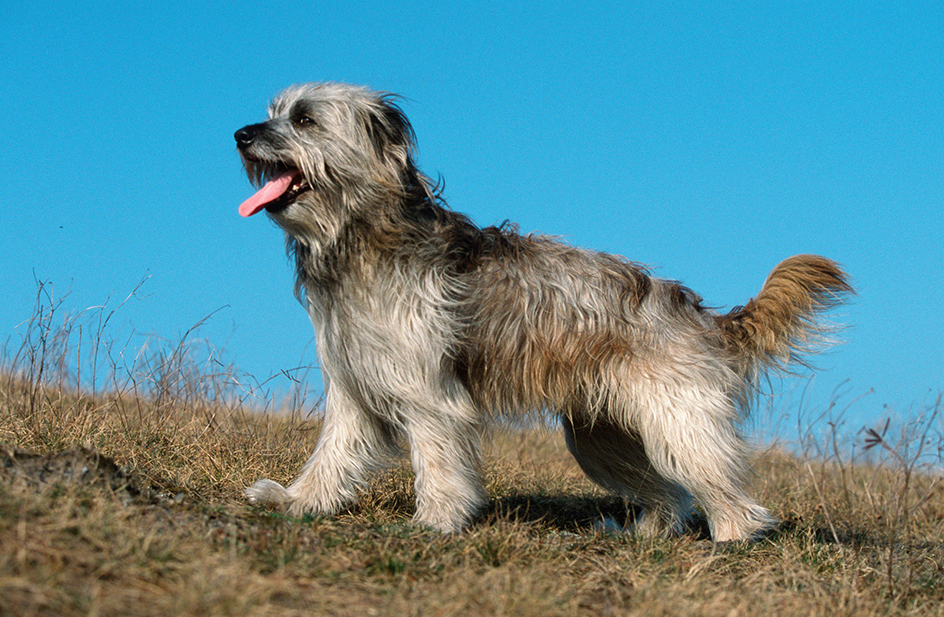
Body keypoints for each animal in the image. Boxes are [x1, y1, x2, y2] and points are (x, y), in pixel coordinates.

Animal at [232, 83, 852, 540]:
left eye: (305, 119)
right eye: (272, 113)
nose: (240, 134)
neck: (363, 233)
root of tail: (697, 311)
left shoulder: (430, 394)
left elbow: (437, 460)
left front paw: (434, 522)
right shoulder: (354, 383)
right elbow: (333, 452)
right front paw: (298, 501)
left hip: (677, 420)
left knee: (722, 490)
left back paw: (731, 539)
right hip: (602, 436)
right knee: (669, 493)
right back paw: (646, 535)